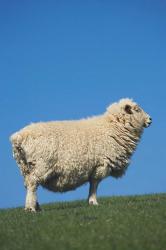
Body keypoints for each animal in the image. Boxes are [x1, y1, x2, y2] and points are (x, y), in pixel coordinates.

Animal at [9, 98, 152, 212]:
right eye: (137, 109)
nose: (150, 119)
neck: (112, 127)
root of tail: (19, 137)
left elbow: (93, 183)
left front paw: (91, 201)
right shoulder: (101, 164)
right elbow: (94, 183)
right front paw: (93, 202)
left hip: (25, 167)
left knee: (29, 184)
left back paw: (36, 206)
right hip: (41, 164)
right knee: (32, 183)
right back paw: (30, 208)